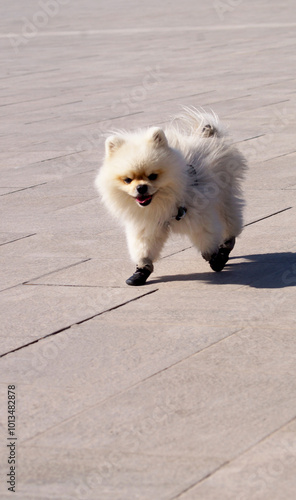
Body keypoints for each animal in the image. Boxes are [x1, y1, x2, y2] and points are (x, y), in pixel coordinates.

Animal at [95, 108, 247, 286]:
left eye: (153, 176)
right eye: (127, 180)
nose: (141, 187)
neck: (162, 202)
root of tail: (208, 135)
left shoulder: (199, 217)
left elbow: (206, 239)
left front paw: (215, 258)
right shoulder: (147, 225)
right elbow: (144, 249)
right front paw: (141, 270)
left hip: (224, 197)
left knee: (230, 221)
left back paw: (226, 245)